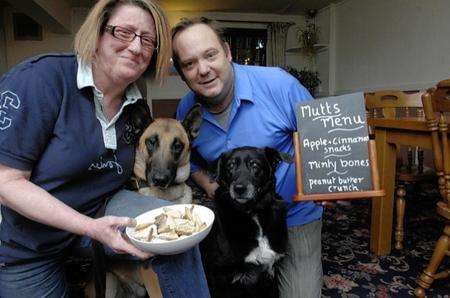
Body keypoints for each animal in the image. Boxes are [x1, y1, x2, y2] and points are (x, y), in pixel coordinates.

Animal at [201, 147, 292, 298]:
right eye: (230, 166)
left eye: (254, 165)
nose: (239, 188)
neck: (252, 212)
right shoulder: (221, 279)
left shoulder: (271, 274)